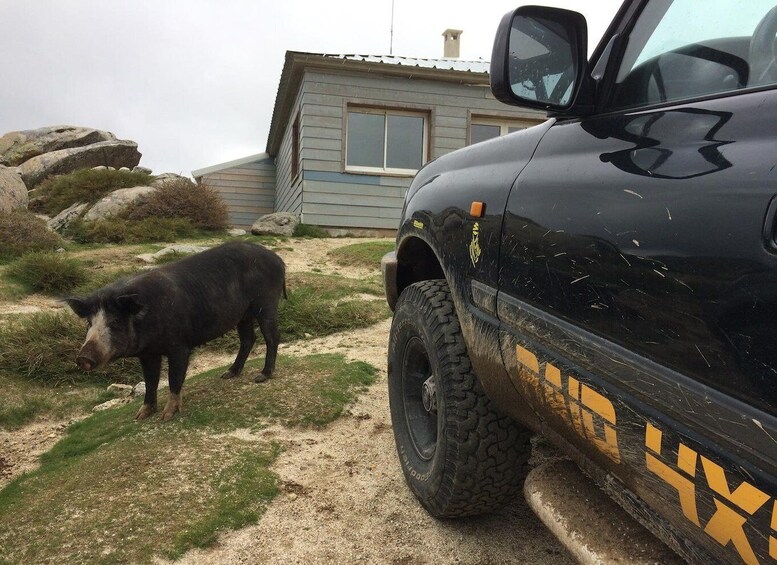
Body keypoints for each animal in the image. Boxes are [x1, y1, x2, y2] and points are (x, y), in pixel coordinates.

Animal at [61, 240, 284, 420]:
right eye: (89, 323)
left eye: (115, 322)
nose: (83, 358)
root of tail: (278, 259)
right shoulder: (147, 353)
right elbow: (150, 380)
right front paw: (140, 416)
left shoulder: (180, 346)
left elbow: (174, 378)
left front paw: (166, 416)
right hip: (243, 314)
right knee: (248, 339)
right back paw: (228, 374)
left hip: (267, 303)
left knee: (272, 337)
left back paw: (262, 376)